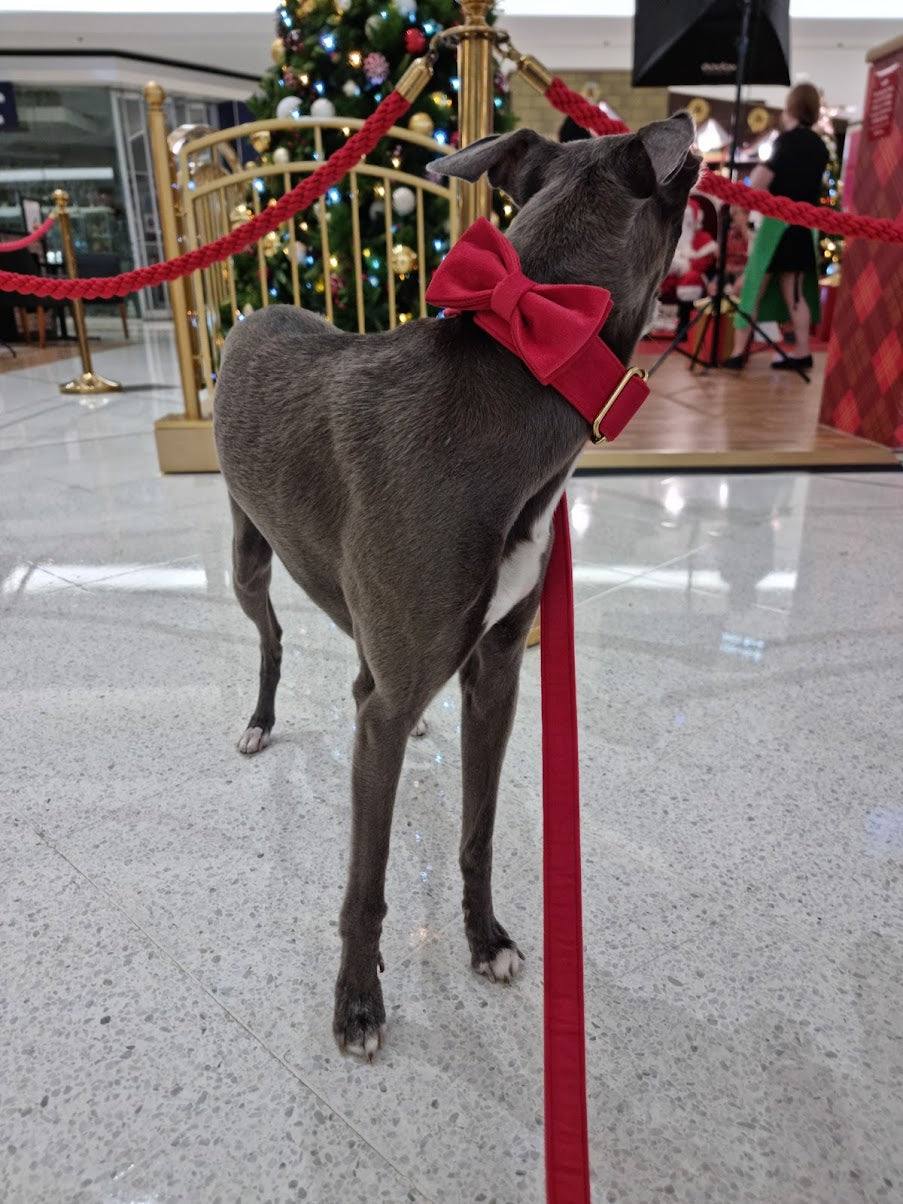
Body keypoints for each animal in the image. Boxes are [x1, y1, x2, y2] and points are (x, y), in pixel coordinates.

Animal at [215, 110, 703, 1054]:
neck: (514, 376)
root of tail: (254, 310)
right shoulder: (395, 704)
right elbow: (365, 886)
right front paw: (358, 1002)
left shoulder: (498, 668)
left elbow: (477, 830)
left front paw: (486, 941)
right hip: (247, 558)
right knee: (273, 638)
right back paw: (259, 721)